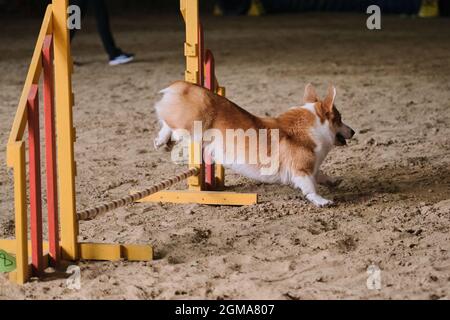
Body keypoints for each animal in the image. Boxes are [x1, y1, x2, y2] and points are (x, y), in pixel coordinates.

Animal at [155, 81, 356, 208]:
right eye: (340, 119)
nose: (354, 131)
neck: (312, 127)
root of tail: (183, 84)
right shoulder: (301, 169)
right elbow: (310, 187)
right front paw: (322, 201)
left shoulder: (311, 167)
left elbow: (321, 175)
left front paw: (334, 181)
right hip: (193, 122)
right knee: (167, 120)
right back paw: (162, 139)